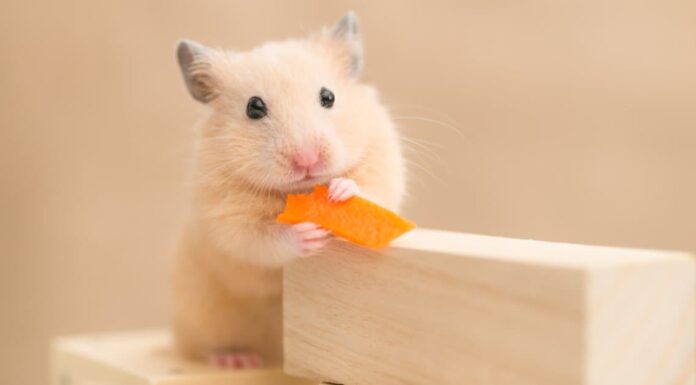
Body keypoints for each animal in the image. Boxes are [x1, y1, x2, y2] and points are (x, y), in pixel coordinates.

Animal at [171, 10, 406, 368]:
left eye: (328, 97)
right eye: (254, 107)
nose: (307, 159)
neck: (302, 192)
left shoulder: (382, 158)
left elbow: (373, 187)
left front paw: (341, 190)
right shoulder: (226, 217)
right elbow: (260, 239)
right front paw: (308, 234)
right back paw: (236, 359)